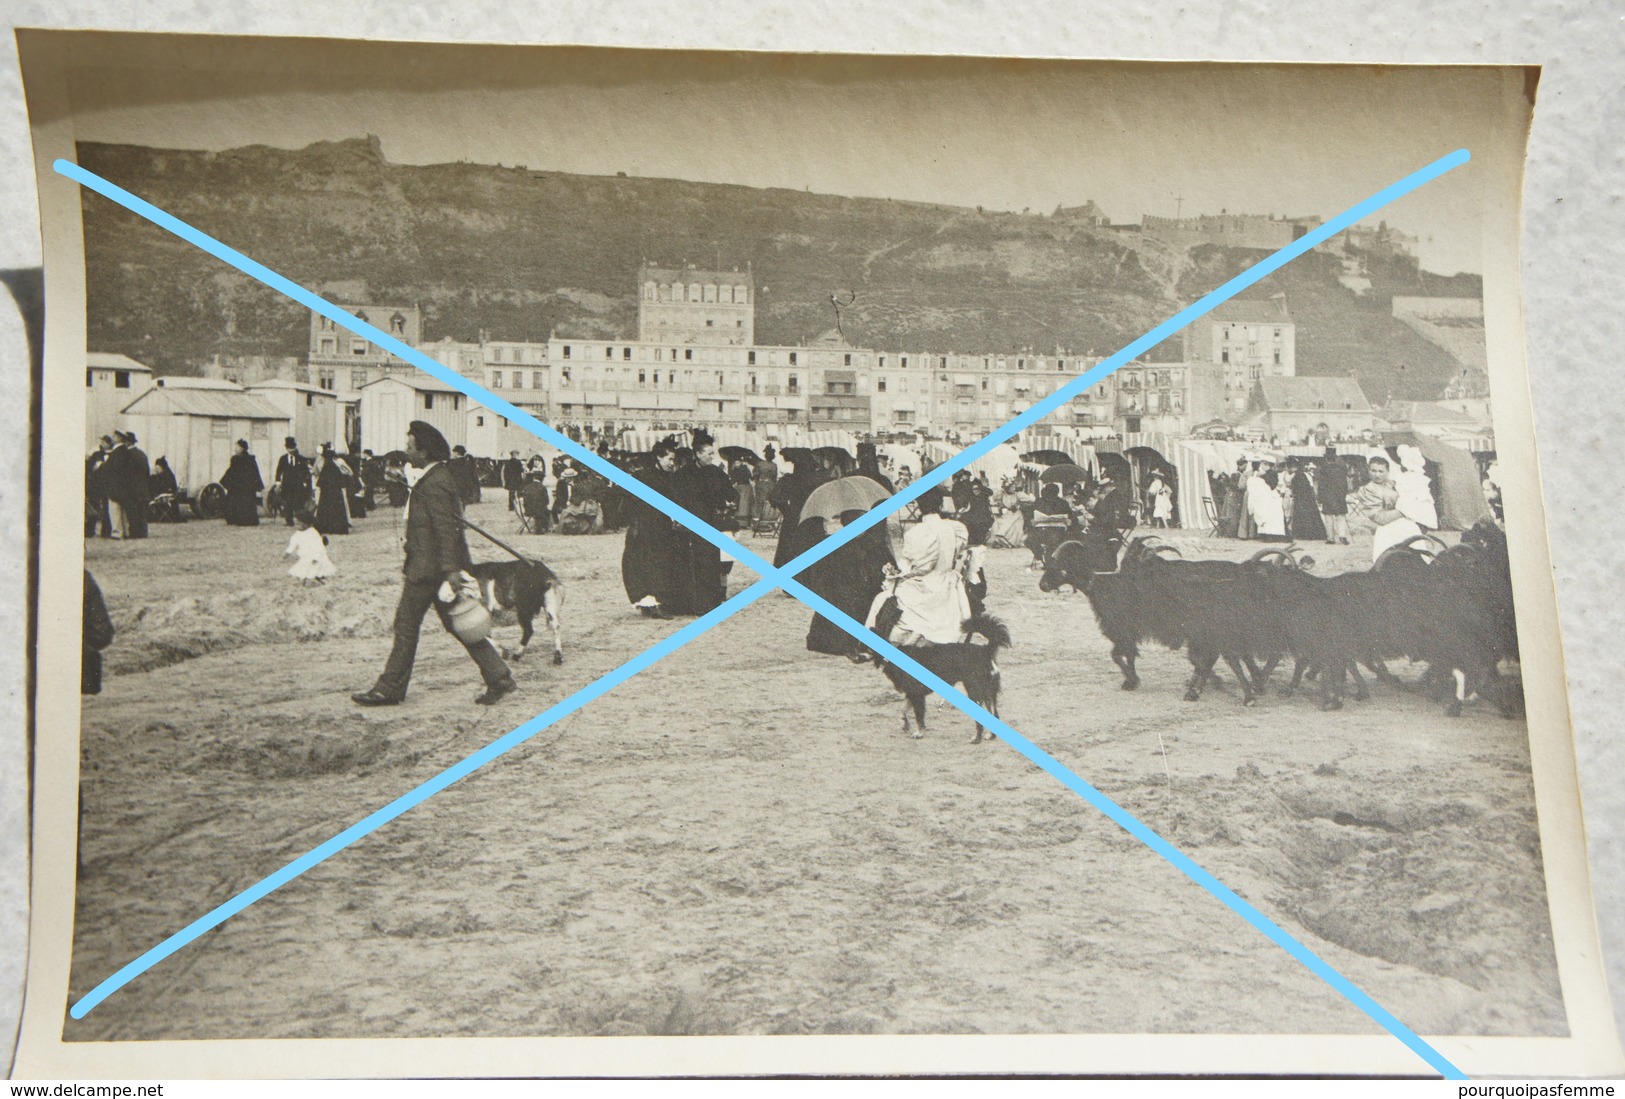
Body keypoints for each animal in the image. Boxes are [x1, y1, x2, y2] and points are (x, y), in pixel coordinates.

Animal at [871, 614, 1007, 741]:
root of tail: (986, 650)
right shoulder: (912, 694)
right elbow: (903, 709)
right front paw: (906, 724)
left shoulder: (917, 695)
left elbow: (919, 716)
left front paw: (919, 733)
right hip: (988, 692)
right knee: (994, 713)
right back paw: (989, 736)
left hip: (975, 690)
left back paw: (976, 738)